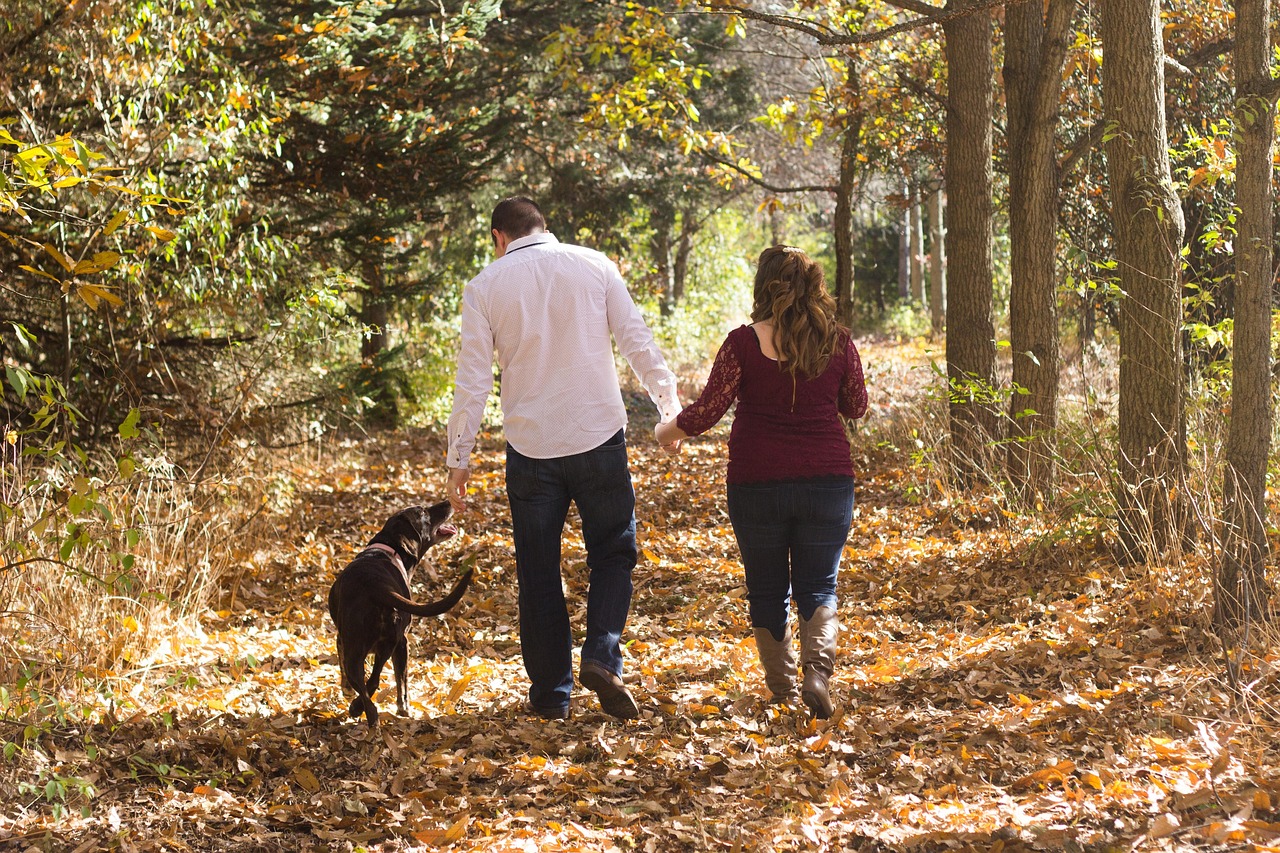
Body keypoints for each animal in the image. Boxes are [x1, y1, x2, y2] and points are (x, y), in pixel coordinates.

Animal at [327, 502, 473, 727]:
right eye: (424, 512)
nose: (448, 503)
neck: (388, 548)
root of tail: (377, 586)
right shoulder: (401, 643)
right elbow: (401, 679)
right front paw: (403, 709)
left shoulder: (341, 640)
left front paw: (347, 692)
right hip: (391, 643)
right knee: (373, 681)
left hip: (360, 649)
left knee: (367, 684)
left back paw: (360, 712)